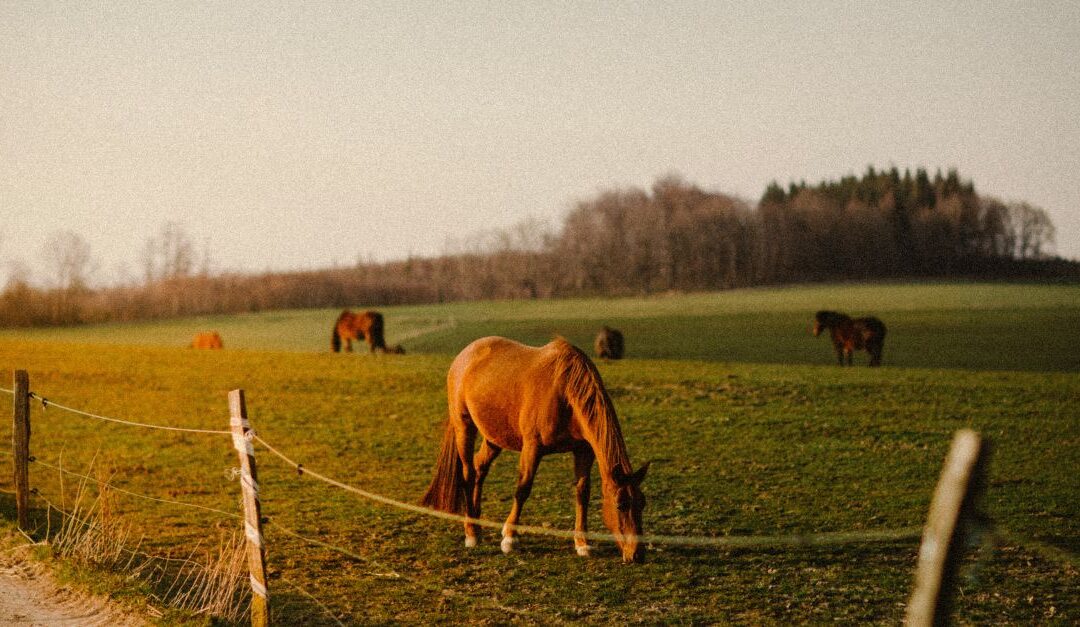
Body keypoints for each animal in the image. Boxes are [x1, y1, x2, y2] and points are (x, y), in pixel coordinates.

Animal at [421, 336, 649, 563]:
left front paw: (582, 543)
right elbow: (523, 489)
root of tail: (465, 354)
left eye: (642, 503)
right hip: (464, 426)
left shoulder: (584, 451)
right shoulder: (532, 447)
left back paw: (477, 522)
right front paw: (510, 538)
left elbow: (582, 492)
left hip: (494, 437)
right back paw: (471, 533)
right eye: (620, 505)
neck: (564, 392)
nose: (637, 554)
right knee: (468, 473)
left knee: (479, 468)